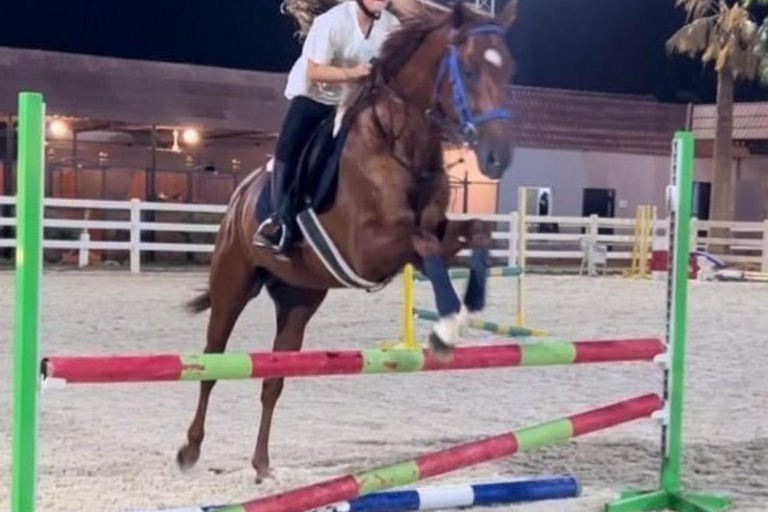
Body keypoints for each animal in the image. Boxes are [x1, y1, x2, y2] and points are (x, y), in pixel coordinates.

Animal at [177, 0, 518, 482]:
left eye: (509, 71)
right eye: (468, 71)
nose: (496, 157)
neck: (400, 145)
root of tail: (239, 195)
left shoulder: (432, 232)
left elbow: (475, 233)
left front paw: (466, 310)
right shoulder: (369, 250)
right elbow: (425, 245)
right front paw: (447, 326)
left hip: (299, 299)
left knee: (273, 379)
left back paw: (262, 465)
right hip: (232, 284)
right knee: (211, 361)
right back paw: (190, 450)